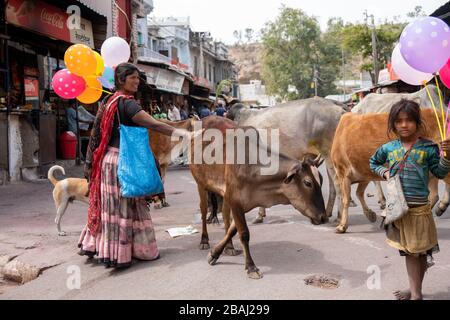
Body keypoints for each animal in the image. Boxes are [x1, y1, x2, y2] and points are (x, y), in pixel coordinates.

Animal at [187, 116, 326, 278]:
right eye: (308, 182)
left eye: (321, 179)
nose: (323, 217)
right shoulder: (235, 200)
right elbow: (244, 233)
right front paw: (251, 267)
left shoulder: (242, 202)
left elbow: (233, 230)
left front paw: (215, 253)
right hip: (200, 183)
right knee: (203, 210)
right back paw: (204, 240)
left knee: (226, 216)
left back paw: (229, 247)